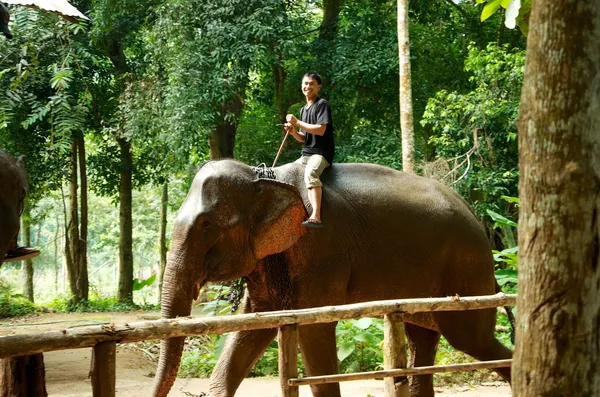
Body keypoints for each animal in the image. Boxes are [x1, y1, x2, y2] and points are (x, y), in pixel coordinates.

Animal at [152, 159, 512, 396]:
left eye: (206, 225)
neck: (269, 176)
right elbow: (257, 323)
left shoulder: (322, 249)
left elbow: (313, 328)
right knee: (423, 340)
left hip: (466, 270)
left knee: (470, 338)